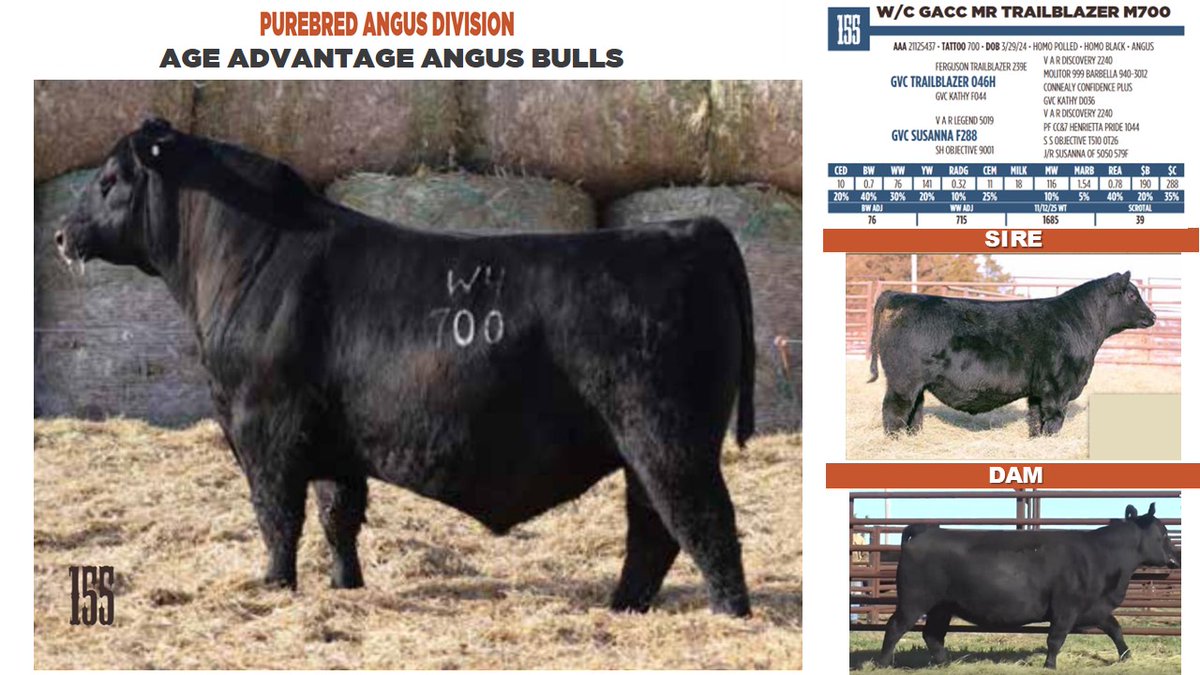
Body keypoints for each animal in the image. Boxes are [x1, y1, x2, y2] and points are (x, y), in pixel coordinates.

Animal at [53, 118, 758, 616]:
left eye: (110, 179)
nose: (60, 235)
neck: (251, 256)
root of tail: (688, 228)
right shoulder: (333, 443)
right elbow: (338, 516)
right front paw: (346, 586)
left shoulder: (263, 426)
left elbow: (277, 514)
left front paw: (274, 585)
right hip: (644, 448)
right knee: (654, 527)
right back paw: (622, 607)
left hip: (667, 438)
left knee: (702, 521)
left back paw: (729, 614)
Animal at [867, 274, 1156, 436]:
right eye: (1132, 295)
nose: (1153, 316)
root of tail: (899, 295)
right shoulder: (1057, 387)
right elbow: (1054, 420)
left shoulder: (1039, 391)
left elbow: (1036, 420)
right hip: (903, 381)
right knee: (894, 411)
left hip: (917, 384)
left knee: (914, 412)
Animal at [876, 504, 1181, 669]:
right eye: (1164, 532)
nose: (1176, 557)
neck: (1102, 555)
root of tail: (927, 530)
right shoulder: (1066, 608)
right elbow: (1055, 639)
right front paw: (1050, 665)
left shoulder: (1095, 607)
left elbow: (1115, 628)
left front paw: (1127, 657)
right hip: (914, 600)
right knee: (895, 627)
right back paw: (882, 663)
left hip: (942, 606)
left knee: (933, 635)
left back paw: (947, 663)